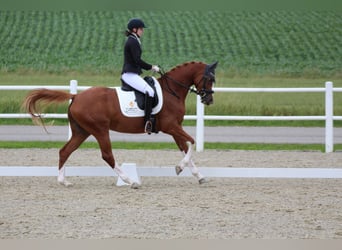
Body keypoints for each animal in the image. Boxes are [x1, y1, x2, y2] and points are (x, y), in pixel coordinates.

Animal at [22, 60, 218, 188]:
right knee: (107, 155)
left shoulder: (175, 128)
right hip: (100, 130)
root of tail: (76, 96)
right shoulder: (171, 126)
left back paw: (64, 181)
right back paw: (131, 181)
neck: (172, 91)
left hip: (81, 131)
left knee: (65, 151)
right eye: (209, 79)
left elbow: (185, 148)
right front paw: (179, 168)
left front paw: (199, 176)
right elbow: (191, 142)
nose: (208, 100)